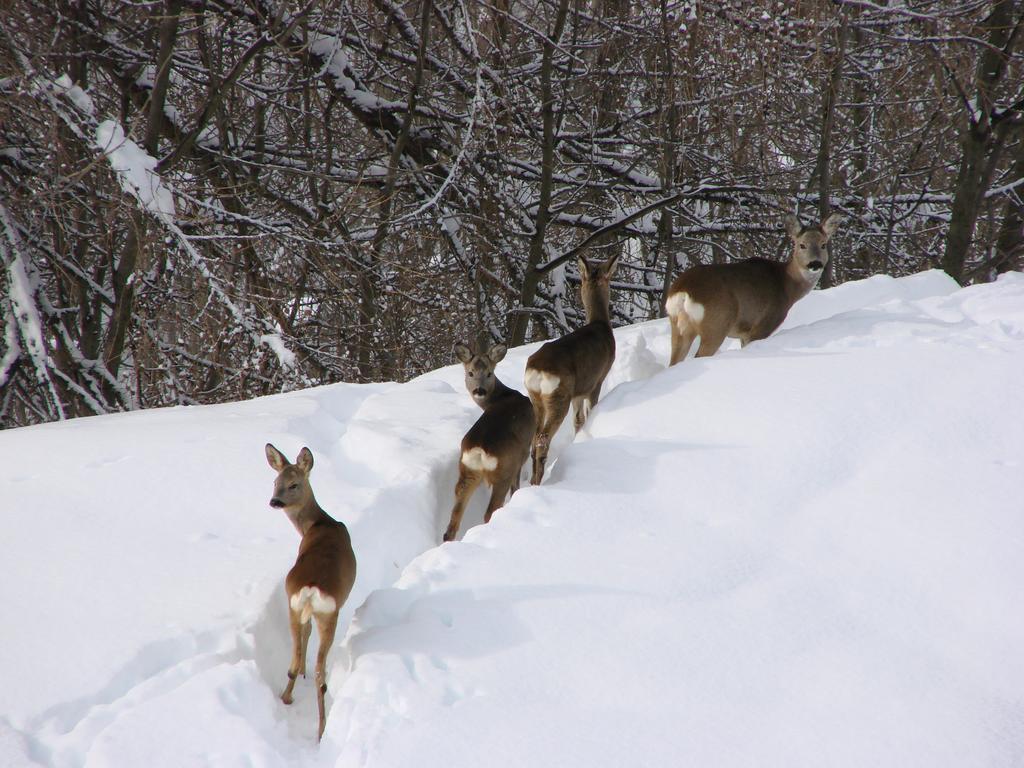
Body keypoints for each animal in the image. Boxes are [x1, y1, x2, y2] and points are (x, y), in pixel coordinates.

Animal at [264, 444, 356, 745]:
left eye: (293, 484)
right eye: (275, 482)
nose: (274, 501)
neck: (318, 523)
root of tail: (311, 589)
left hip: (293, 606)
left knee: (294, 659)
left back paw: (287, 697)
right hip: (328, 614)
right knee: (320, 674)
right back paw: (321, 730)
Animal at [442, 339, 536, 544]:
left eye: (489, 373)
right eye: (470, 373)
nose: (479, 390)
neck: (502, 396)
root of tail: (479, 450)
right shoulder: (522, 454)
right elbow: (516, 485)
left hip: (467, 472)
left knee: (452, 523)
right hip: (503, 469)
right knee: (489, 512)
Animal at [524, 256, 618, 489]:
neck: (600, 324)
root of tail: (538, 369)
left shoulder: (578, 392)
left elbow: (578, 421)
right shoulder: (597, 380)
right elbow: (589, 412)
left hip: (536, 397)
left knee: (534, 439)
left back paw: (532, 480)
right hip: (559, 396)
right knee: (542, 439)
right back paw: (538, 481)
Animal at [663, 211, 839, 364]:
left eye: (823, 245)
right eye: (802, 245)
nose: (815, 264)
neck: (787, 286)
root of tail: (682, 290)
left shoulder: (744, 333)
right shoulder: (762, 326)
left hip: (678, 326)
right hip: (716, 324)